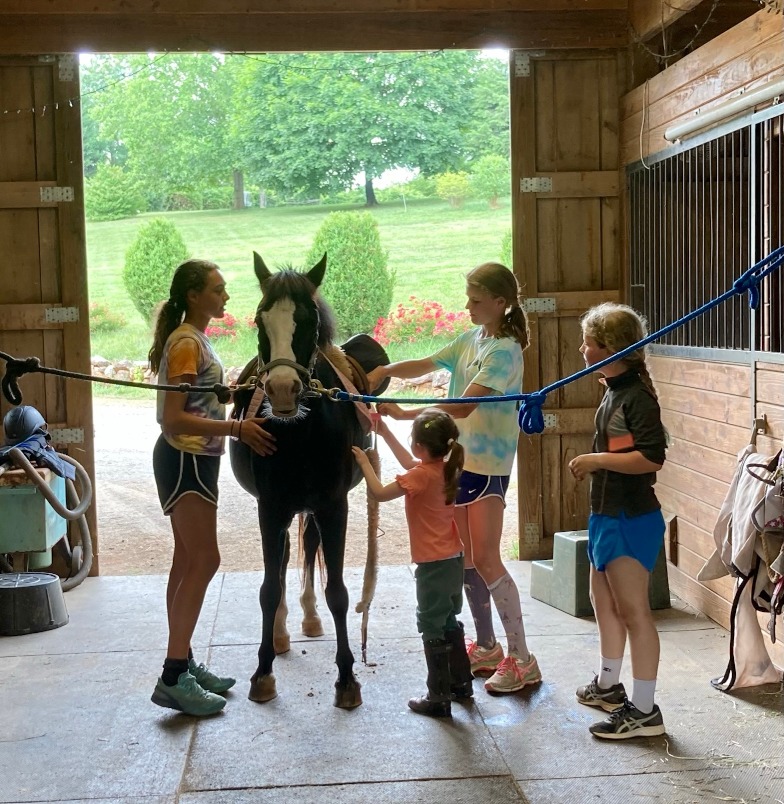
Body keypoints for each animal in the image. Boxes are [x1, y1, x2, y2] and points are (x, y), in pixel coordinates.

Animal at [231, 253, 370, 708]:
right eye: (260, 319)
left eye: (309, 319)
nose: (282, 389)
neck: (298, 432)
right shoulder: (270, 508)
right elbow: (268, 588)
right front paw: (263, 672)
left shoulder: (333, 505)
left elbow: (338, 592)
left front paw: (346, 678)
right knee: (287, 558)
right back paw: (280, 632)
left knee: (308, 548)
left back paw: (309, 617)